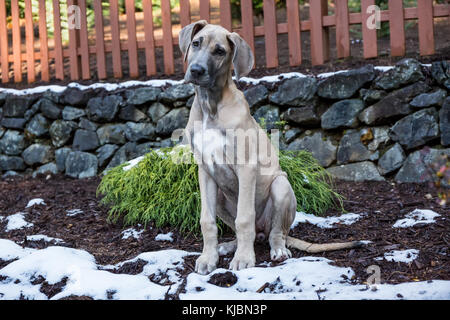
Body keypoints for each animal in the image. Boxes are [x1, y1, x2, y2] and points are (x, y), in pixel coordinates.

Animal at [178, 20, 364, 276]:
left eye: (220, 51)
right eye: (196, 43)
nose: (196, 70)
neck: (211, 106)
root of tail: (262, 232)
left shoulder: (246, 167)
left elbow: (244, 218)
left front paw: (244, 259)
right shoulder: (205, 171)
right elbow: (207, 220)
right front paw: (209, 258)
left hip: (281, 186)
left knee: (276, 232)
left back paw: (277, 250)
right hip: (222, 196)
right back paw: (230, 245)